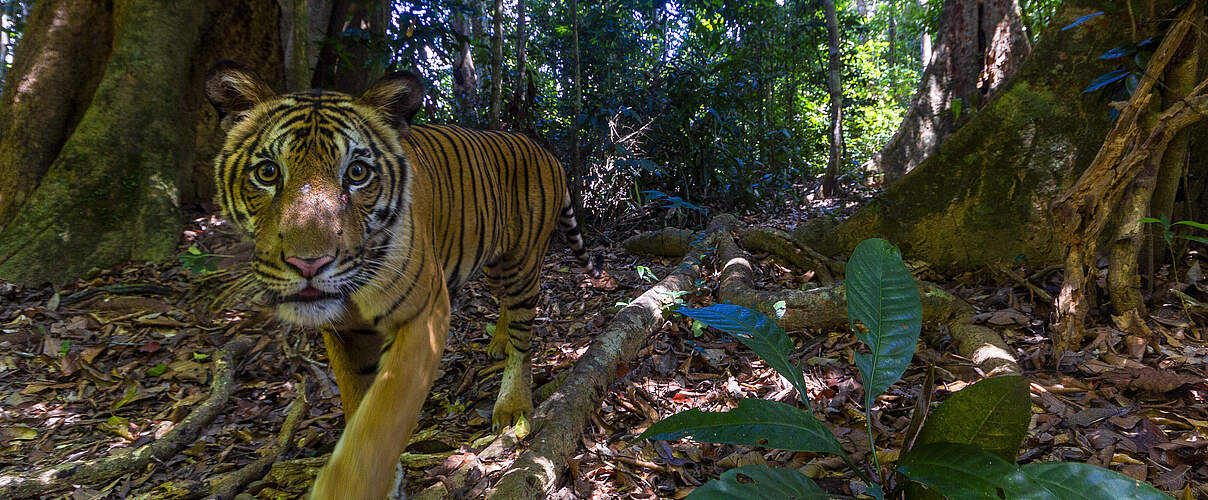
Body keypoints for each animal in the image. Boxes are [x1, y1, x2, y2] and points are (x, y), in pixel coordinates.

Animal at [208, 60, 604, 497]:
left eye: (357, 173)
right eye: (267, 173)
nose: (309, 264)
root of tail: (542, 149)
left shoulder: (423, 315)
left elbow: (383, 415)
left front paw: (350, 485)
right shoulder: (341, 331)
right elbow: (356, 401)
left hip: (521, 261)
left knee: (523, 332)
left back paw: (513, 405)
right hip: (494, 262)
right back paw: (498, 343)